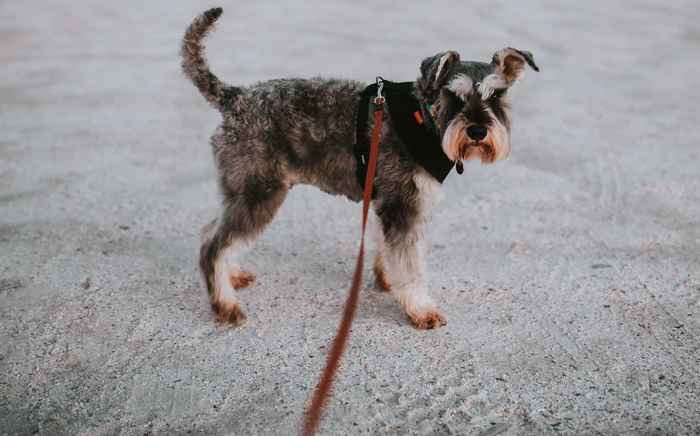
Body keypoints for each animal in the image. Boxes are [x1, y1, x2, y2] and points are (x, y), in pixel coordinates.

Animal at [182, 6, 540, 328]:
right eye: (454, 96)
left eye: (497, 96)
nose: (478, 131)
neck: (423, 118)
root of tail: (235, 98)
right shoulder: (404, 207)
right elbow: (411, 265)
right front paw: (421, 310)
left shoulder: (388, 202)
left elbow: (388, 249)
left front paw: (387, 280)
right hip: (260, 193)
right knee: (213, 246)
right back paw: (225, 305)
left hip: (242, 190)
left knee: (212, 231)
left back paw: (232, 276)